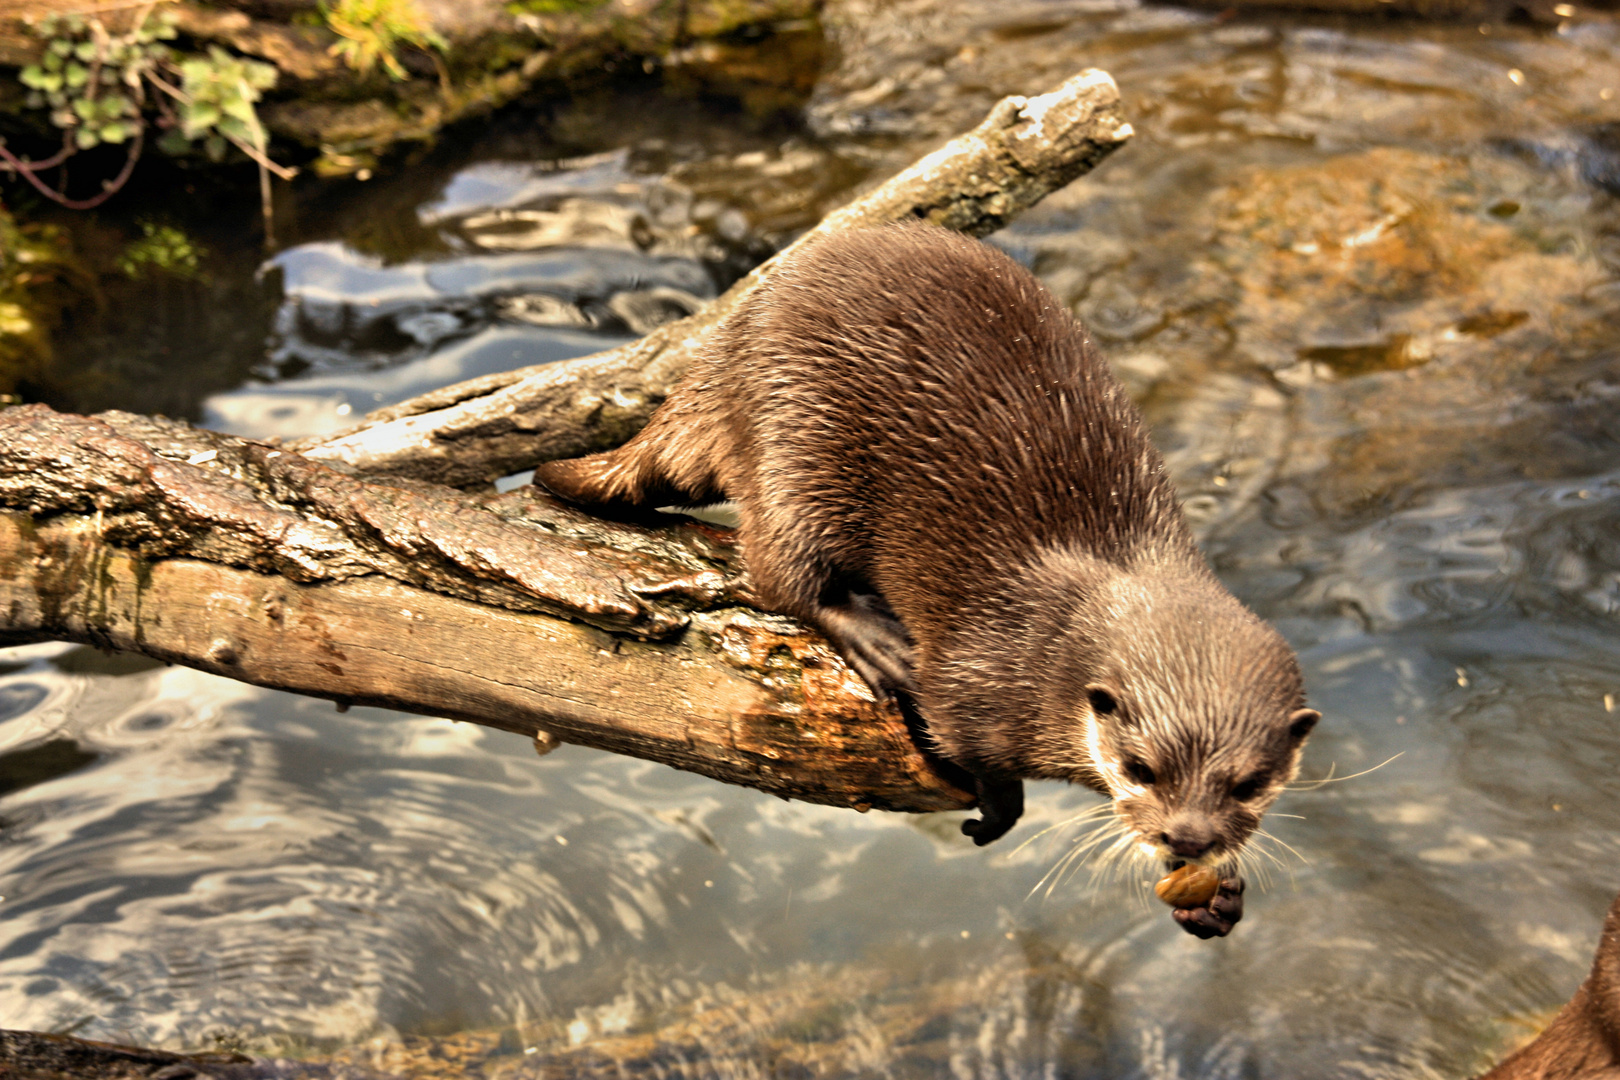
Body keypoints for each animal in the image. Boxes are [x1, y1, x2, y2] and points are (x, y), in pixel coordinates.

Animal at [537, 226, 1321, 939]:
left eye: (1250, 783)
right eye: (1139, 767)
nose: (1187, 836)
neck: (1050, 648)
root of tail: (723, 353)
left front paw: (1214, 897)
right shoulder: (976, 675)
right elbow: (961, 738)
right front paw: (999, 806)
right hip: (794, 442)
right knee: (779, 568)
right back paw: (876, 639)